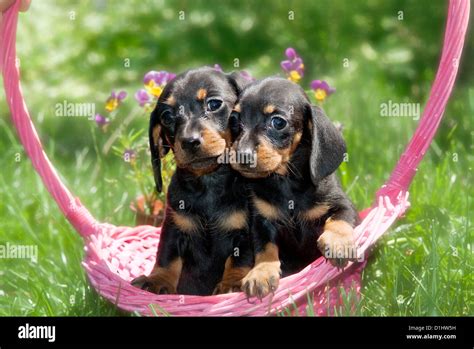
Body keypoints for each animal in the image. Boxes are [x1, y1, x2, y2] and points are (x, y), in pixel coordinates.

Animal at [131, 67, 254, 294]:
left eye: (214, 104)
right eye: (167, 116)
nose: (189, 142)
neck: (208, 183)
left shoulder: (245, 232)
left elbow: (240, 260)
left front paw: (232, 284)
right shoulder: (174, 227)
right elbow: (167, 257)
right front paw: (158, 280)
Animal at [231, 77, 360, 298]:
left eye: (278, 122)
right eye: (234, 118)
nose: (242, 155)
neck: (286, 183)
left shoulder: (343, 203)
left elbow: (340, 219)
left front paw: (338, 242)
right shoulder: (262, 221)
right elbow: (264, 249)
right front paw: (261, 273)